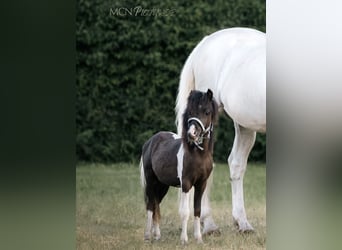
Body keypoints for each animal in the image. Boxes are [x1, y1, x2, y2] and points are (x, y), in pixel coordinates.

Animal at [140, 90, 218, 244]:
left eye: (207, 112)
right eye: (190, 111)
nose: (192, 134)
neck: (198, 154)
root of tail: (150, 142)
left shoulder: (201, 184)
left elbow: (197, 210)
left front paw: (199, 239)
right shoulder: (186, 184)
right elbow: (185, 212)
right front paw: (184, 240)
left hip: (162, 185)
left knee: (156, 204)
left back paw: (157, 235)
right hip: (151, 182)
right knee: (150, 206)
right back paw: (147, 236)